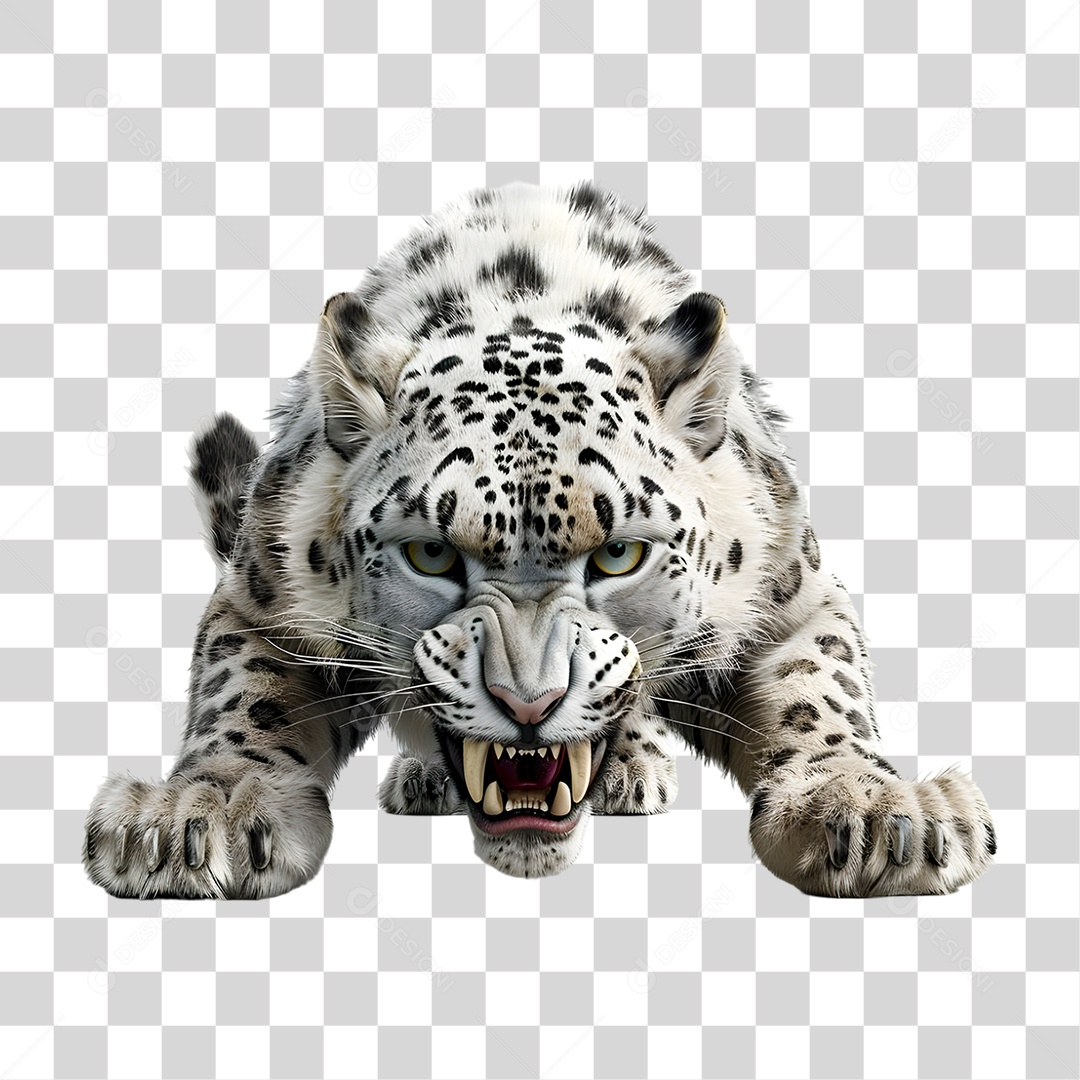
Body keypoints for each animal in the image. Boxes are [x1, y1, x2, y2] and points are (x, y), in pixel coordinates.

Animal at [83, 182, 996, 898]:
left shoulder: (793, 596)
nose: (529, 705)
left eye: (620, 553)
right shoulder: (261, 600)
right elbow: (239, 698)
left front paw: (877, 813)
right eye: (431, 553)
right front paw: (198, 813)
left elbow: (823, 688)